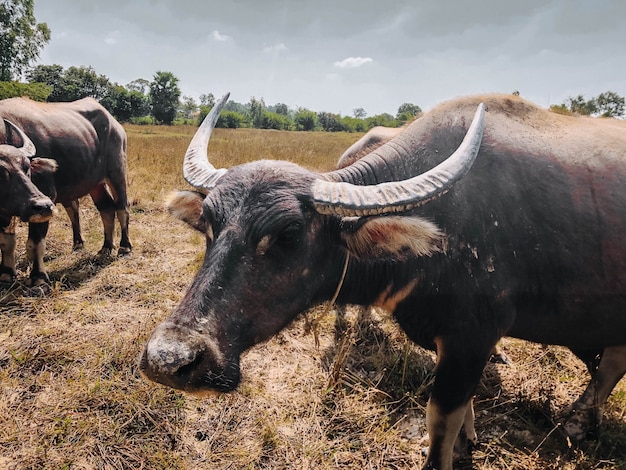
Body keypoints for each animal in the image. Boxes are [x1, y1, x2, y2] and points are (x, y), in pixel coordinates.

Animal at [0, 97, 132, 284]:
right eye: (0, 172)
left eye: (27, 168)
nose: (42, 205)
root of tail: (115, 125)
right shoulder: (4, 210)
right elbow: (6, 242)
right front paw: (6, 274)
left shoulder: (46, 198)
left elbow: (34, 243)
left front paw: (38, 277)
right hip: (95, 184)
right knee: (106, 208)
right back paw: (105, 247)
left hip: (117, 173)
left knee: (122, 207)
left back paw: (125, 247)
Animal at [140, 92, 624, 470]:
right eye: (209, 223)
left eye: (289, 234)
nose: (169, 359)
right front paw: (468, 441)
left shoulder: (472, 337)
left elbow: (441, 419)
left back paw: (578, 422)